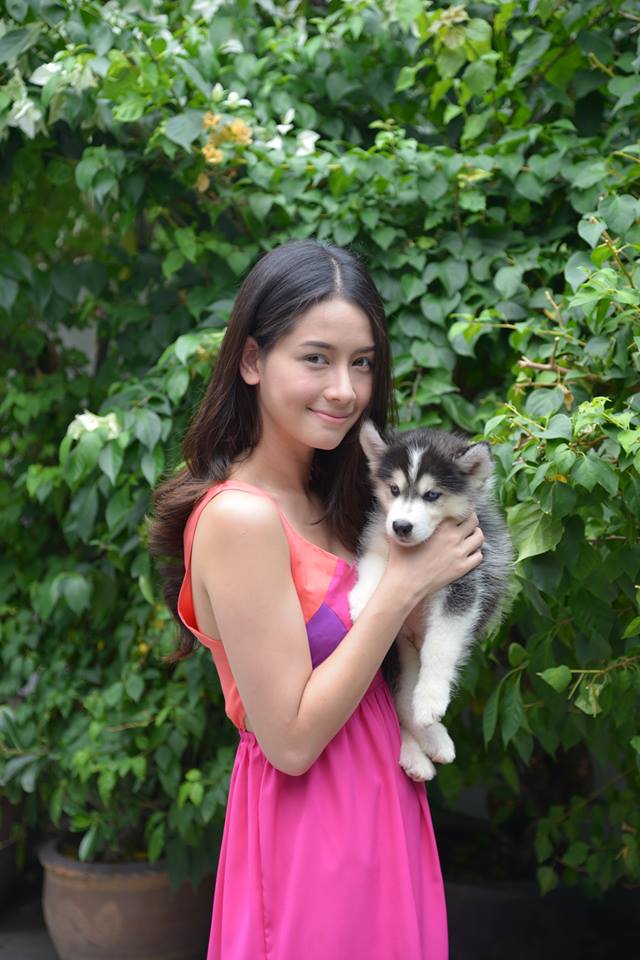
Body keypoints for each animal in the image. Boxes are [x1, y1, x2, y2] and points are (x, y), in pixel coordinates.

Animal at [349, 421, 514, 782]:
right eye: (394, 489)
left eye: (432, 495)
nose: (401, 526)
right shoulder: (377, 540)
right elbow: (375, 567)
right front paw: (362, 601)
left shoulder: (465, 584)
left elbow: (440, 647)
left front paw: (431, 699)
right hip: (396, 647)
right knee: (400, 697)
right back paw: (419, 750)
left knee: (407, 697)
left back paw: (430, 734)